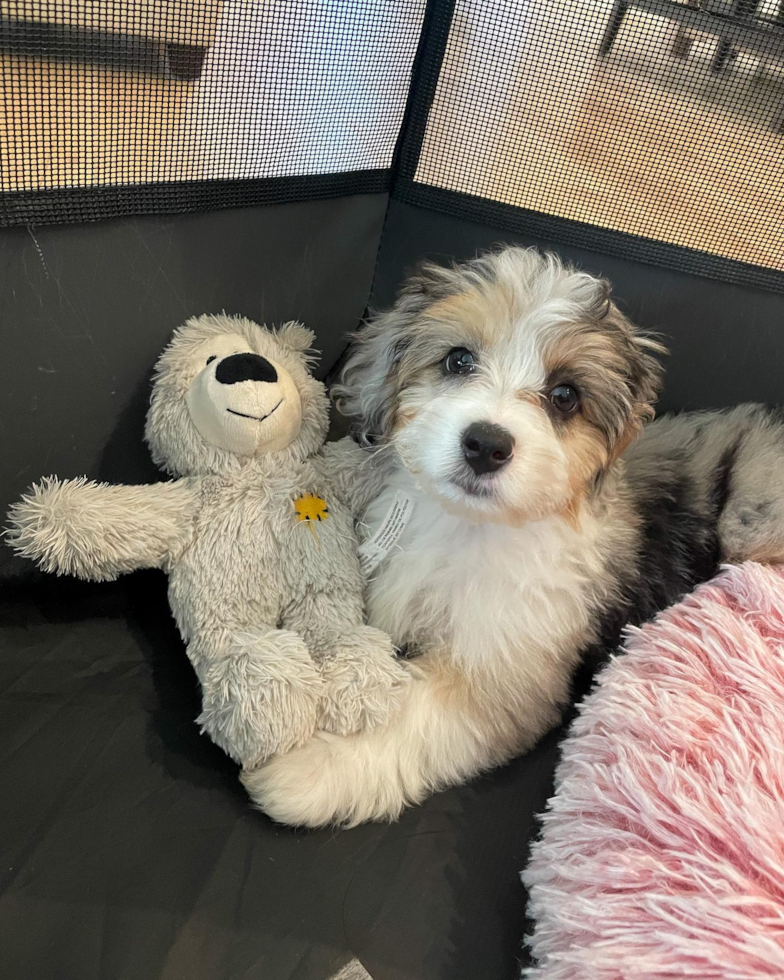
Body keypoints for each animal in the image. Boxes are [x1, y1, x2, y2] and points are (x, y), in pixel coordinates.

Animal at [242, 245, 784, 828]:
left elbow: (414, 713)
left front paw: (312, 768)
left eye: (566, 395)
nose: (486, 444)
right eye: (458, 360)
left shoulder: (503, 669)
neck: (469, 526)